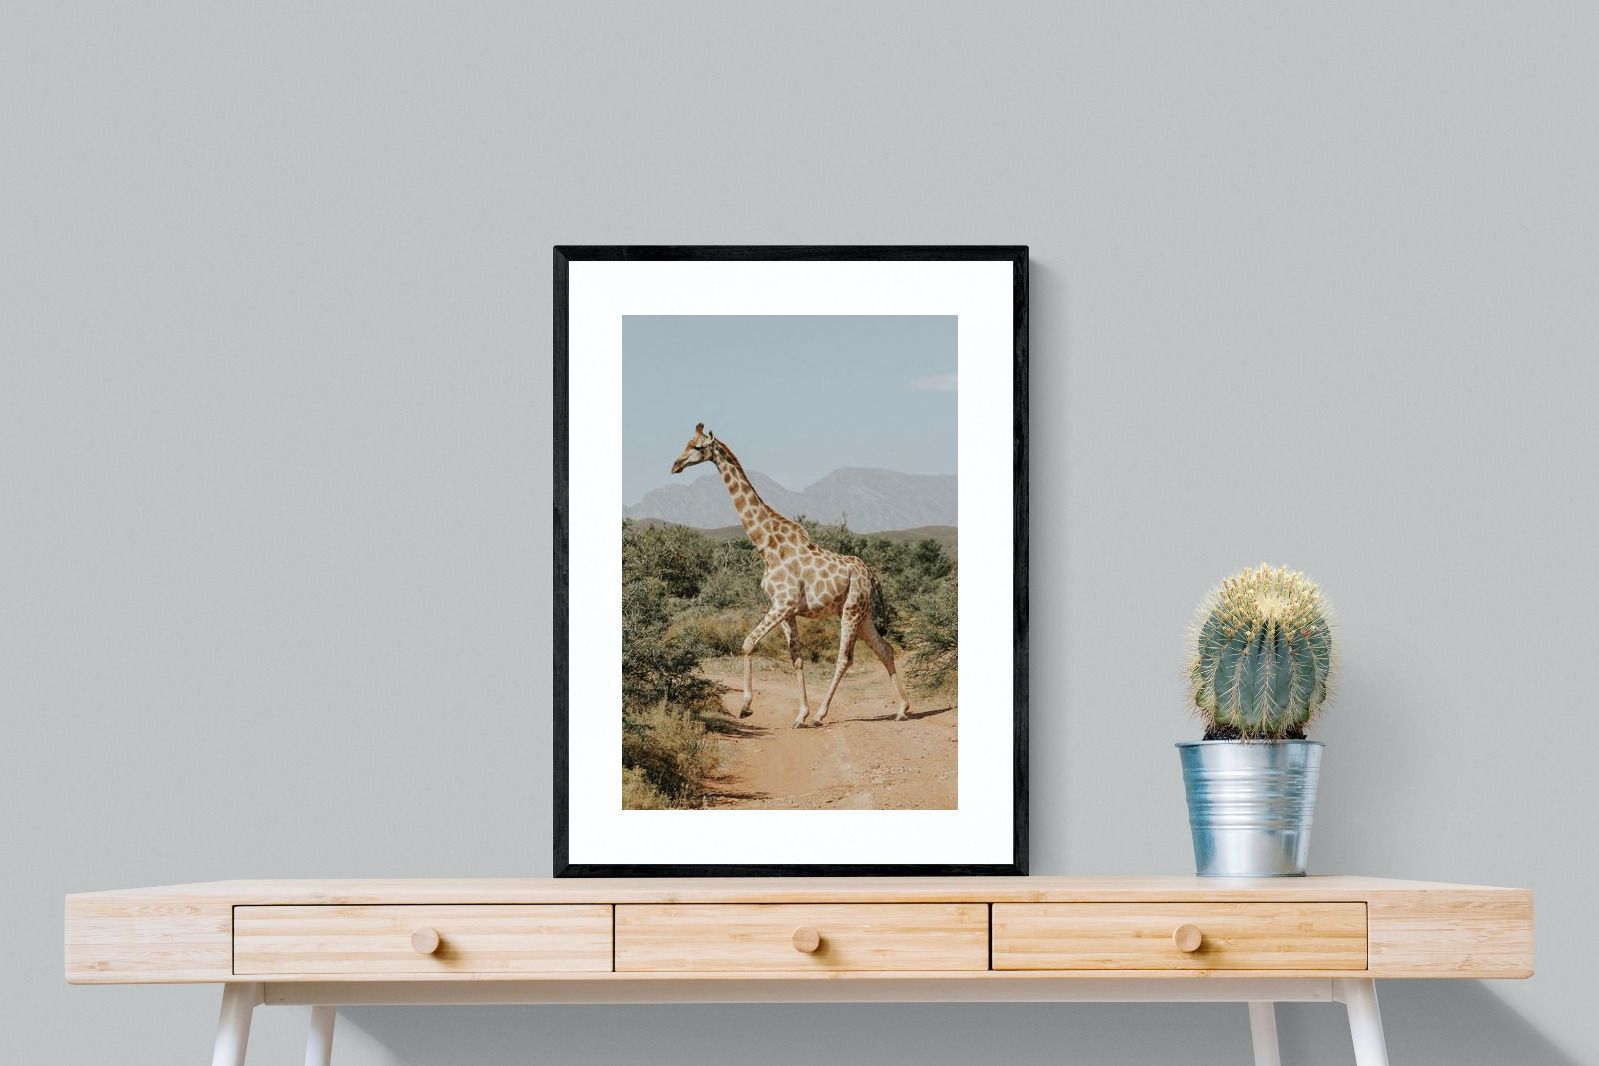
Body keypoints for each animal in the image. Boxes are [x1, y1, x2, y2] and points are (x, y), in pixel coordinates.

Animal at [670, 424, 912, 728]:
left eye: (698, 447)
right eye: (686, 442)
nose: (675, 465)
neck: (767, 546)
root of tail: (871, 575)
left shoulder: (783, 604)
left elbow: (748, 643)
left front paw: (746, 707)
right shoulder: (786, 610)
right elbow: (796, 657)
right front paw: (799, 715)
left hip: (852, 610)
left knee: (845, 658)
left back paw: (821, 715)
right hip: (863, 613)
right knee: (885, 649)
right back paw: (902, 709)